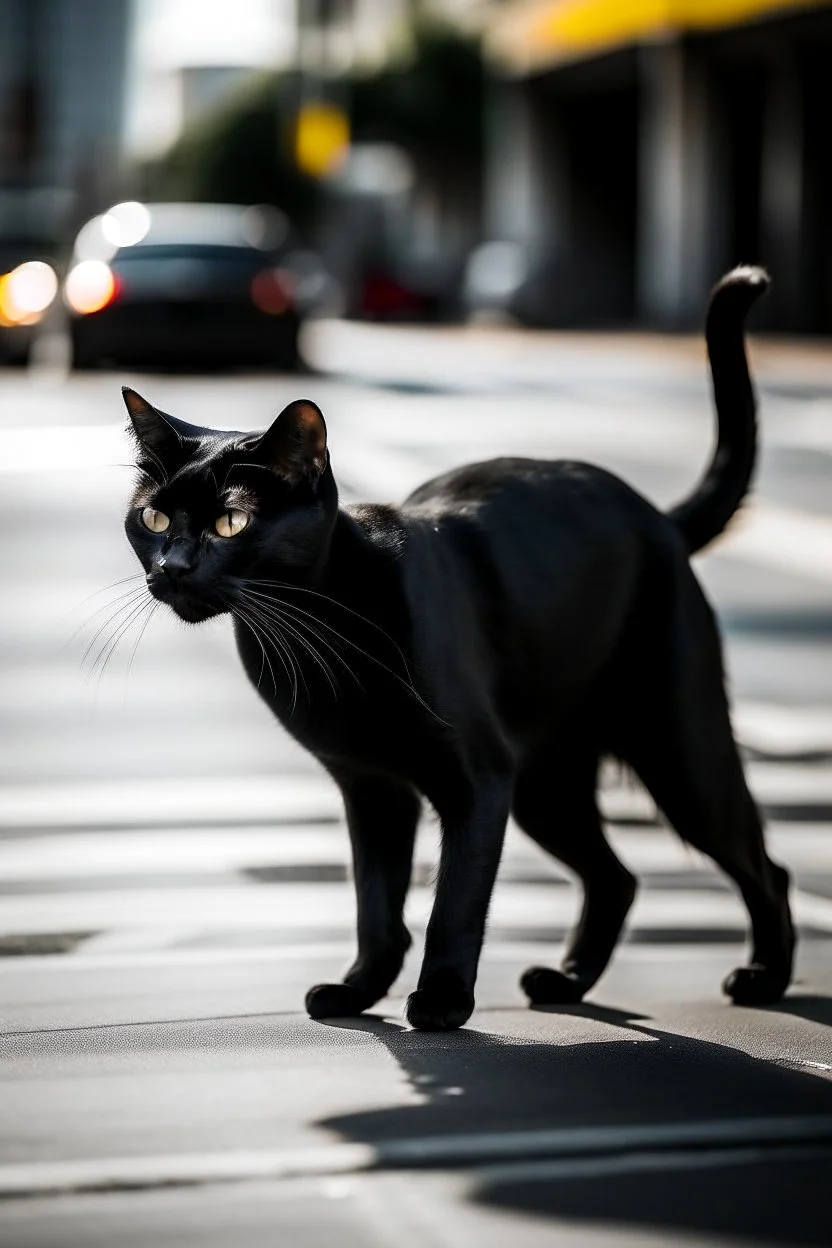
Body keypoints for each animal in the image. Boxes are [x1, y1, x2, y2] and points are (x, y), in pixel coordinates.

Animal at [122, 265, 793, 1033]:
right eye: (153, 518)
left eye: (231, 521)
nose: (173, 567)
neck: (319, 634)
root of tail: (656, 515)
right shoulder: (371, 786)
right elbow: (375, 902)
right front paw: (358, 991)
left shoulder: (476, 779)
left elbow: (455, 903)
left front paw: (441, 1001)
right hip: (546, 784)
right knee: (617, 876)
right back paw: (567, 981)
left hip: (675, 755)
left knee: (762, 866)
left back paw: (765, 978)